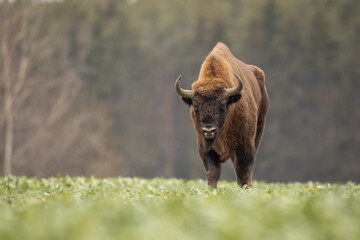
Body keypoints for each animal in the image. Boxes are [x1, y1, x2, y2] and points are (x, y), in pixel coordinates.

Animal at [176, 42, 268, 189]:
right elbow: (212, 172)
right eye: (195, 107)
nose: (209, 130)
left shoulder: (245, 145)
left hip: (258, 132)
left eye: (223, 106)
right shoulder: (205, 148)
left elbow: (243, 171)